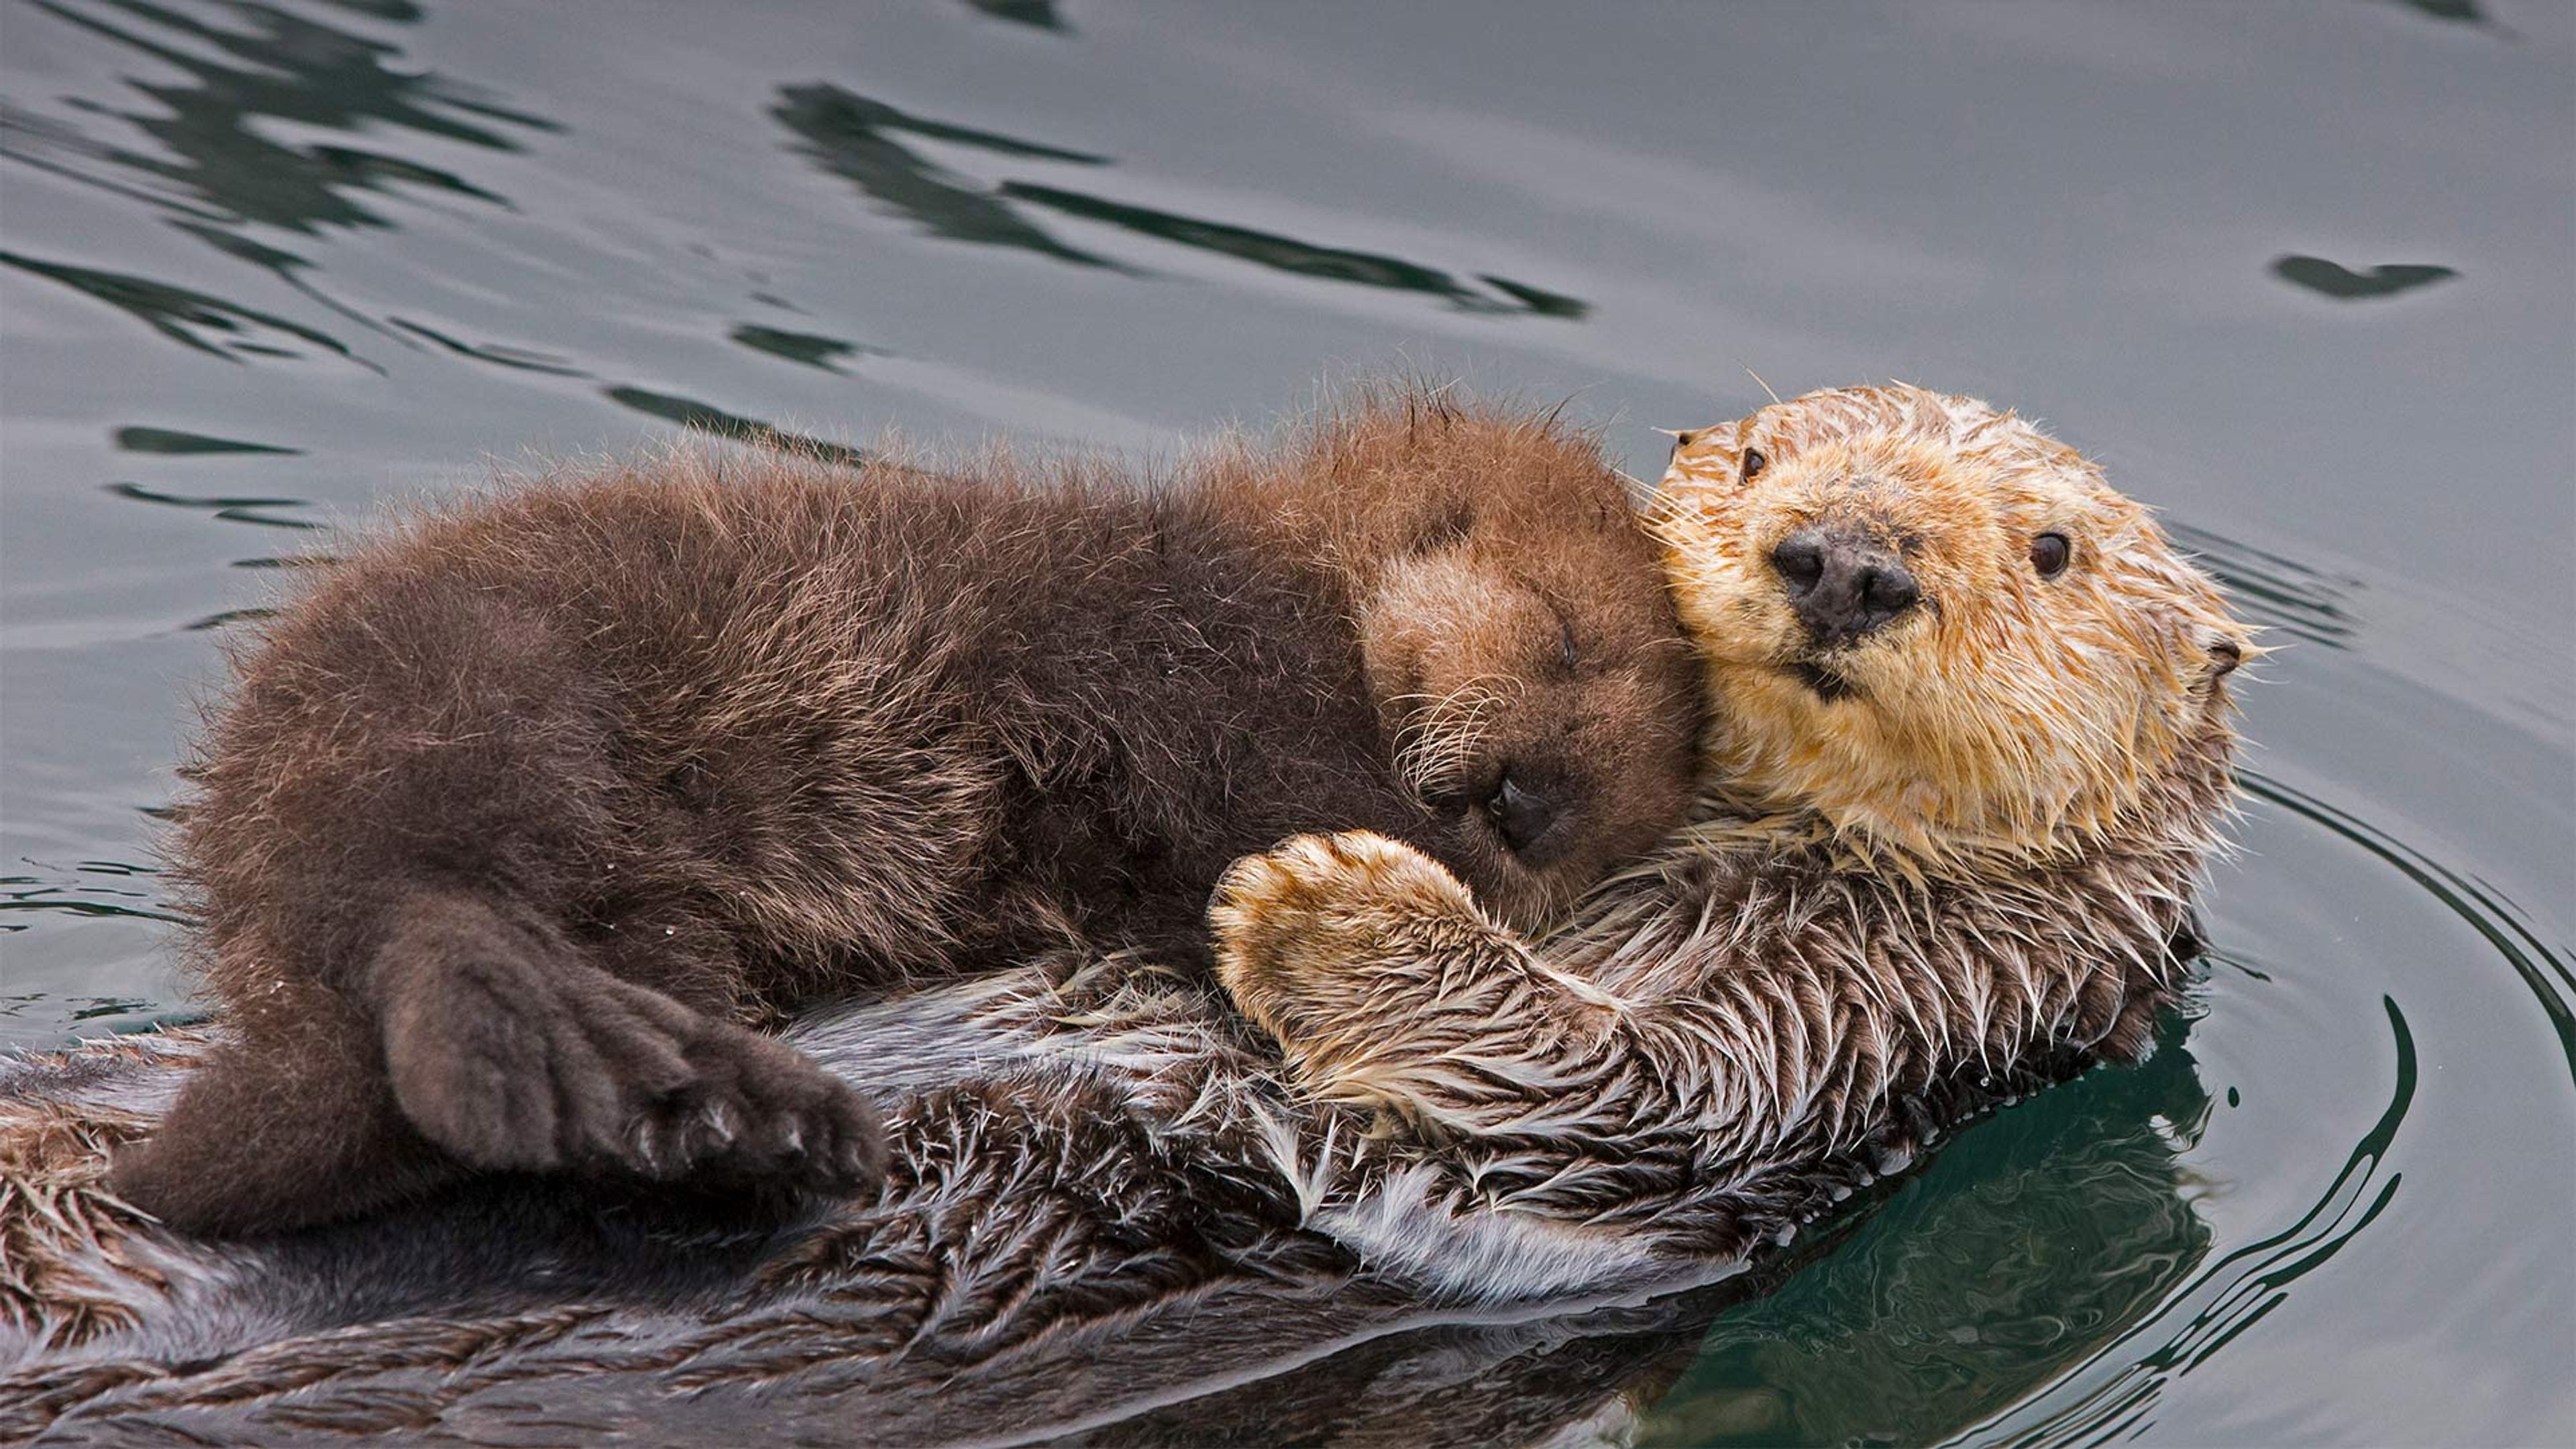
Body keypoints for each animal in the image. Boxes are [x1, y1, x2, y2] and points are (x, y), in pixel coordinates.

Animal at [103, 390, 1703, 1236]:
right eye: (1566, 640)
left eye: (1622, 814)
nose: (1535, 802)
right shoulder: (1205, 657)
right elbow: (1277, 786)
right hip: (481, 683)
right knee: (421, 906)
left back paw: (716, 1114)